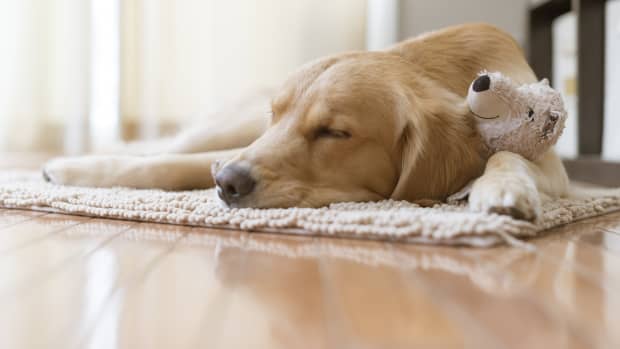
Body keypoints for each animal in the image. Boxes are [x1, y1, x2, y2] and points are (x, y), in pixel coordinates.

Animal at [42, 23, 568, 220]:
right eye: (276, 117)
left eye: (335, 133)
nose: (228, 182)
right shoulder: (250, 141)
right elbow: (162, 165)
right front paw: (75, 170)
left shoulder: (552, 167)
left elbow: (506, 154)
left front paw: (503, 188)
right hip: (225, 129)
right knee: (164, 148)